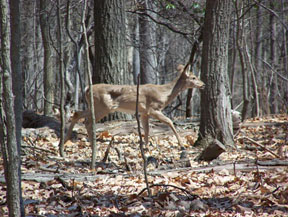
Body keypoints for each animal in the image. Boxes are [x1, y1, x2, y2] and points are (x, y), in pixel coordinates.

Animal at [64, 63, 205, 147]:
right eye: (193, 77)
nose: (203, 84)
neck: (165, 93)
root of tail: (87, 89)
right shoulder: (153, 108)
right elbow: (169, 121)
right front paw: (182, 144)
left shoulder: (144, 112)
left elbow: (146, 129)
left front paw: (146, 146)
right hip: (103, 106)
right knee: (87, 120)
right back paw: (92, 143)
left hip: (95, 106)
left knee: (77, 114)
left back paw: (66, 141)